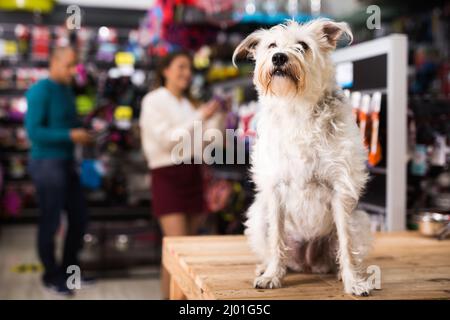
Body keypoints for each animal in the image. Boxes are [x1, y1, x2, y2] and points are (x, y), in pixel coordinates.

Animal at [232, 18, 372, 296]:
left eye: (303, 46)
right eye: (271, 45)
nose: (278, 57)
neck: (296, 105)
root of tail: (307, 262)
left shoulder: (340, 188)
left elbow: (346, 243)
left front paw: (353, 281)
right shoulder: (275, 190)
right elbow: (276, 239)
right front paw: (272, 276)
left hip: (360, 220)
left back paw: (338, 272)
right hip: (258, 216)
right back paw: (266, 267)